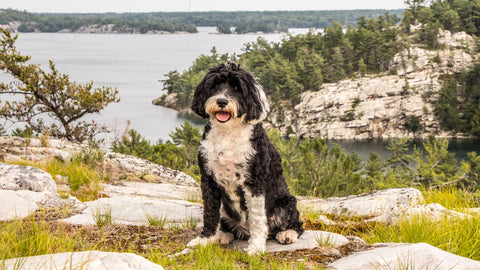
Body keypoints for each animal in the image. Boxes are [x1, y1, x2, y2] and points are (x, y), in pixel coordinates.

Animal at [187, 62, 304, 254]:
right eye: (215, 86)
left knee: (295, 224)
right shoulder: (208, 179)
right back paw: (221, 236)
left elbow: (256, 218)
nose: (222, 101)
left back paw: (287, 234)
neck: (228, 133)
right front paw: (205, 239)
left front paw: (255, 247)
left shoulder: (254, 181)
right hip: (226, 209)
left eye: (237, 88)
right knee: (228, 226)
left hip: (285, 202)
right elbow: (209, 212)